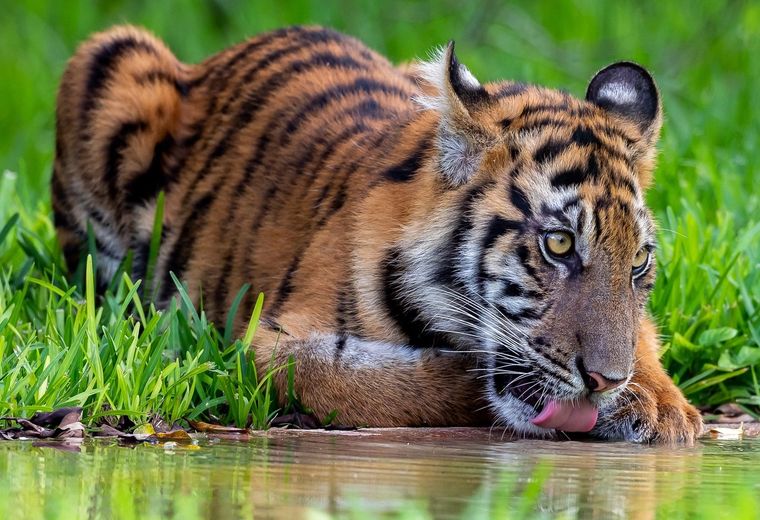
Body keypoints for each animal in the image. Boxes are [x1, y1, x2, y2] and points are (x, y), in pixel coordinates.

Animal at [52, 24, 703, 443]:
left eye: (638, 263)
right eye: (559, 244)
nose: (605, 381)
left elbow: (643, 334)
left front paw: (661, 406)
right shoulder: (278, 343)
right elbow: (398, 384)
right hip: (113, 57)